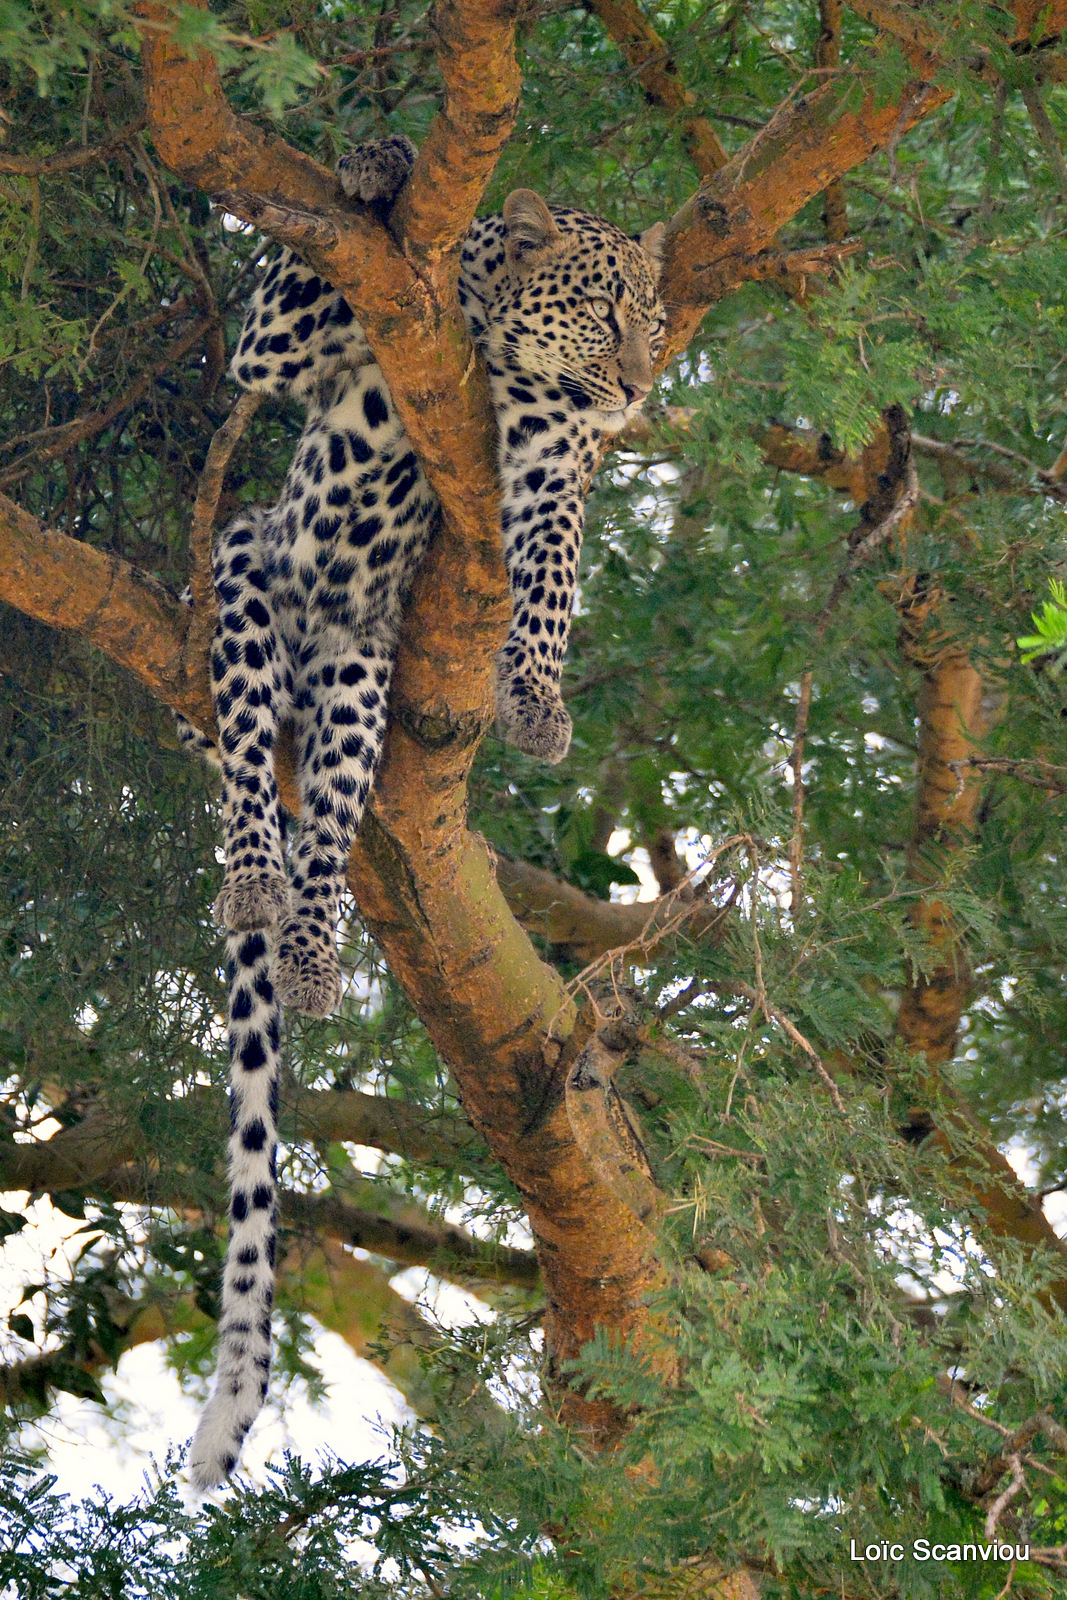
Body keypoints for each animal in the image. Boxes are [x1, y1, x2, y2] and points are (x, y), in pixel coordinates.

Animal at [184, 134, 668, 1484]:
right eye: (607, 310)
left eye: (657, 321)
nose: (637, 387)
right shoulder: (285, 353)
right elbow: (298, 304)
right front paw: (380, 172)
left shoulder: (548, 474)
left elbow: (549, 577)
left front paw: (536, 698)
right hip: (245, 572)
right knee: (248, 767)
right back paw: (250, 871)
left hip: (358, 681)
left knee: (332, 832)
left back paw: (308, 955)